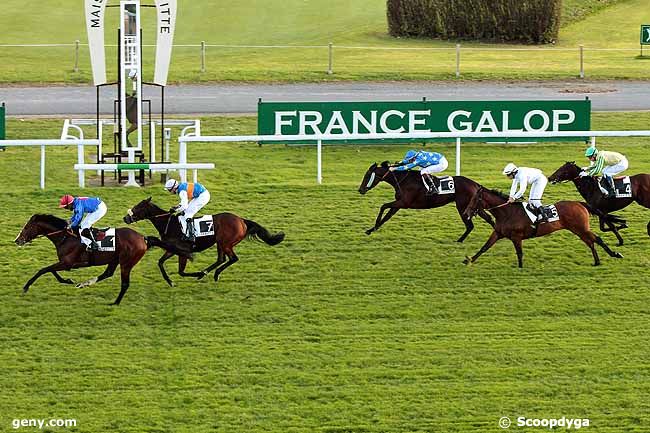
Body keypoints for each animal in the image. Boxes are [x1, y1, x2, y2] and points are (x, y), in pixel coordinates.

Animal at [14, 213, 163, 304]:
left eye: (27, 227)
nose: (17, 240)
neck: (65, 237)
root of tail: (142, 238)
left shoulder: (67, 263)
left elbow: (44, 270)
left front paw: (26, 287)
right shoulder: (66, 263)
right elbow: (50, 270)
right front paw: (68, 280)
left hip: (126, 263)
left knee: (124, 283)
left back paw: (114, 303)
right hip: (115, 260)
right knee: (107, 273)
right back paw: (84, 284)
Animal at [122, 197, 284, 286]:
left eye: (138, 207)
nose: (125, 218)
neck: (169, 223)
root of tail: (241, 220)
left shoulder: (182, 250)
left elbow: (181, 271)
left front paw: (196, 273)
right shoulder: (172, 249)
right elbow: (161, 263)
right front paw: (170, 281)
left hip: (225, 243)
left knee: (232, 258)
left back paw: (210, 273)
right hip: (220, 243)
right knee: (221, 259)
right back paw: (210, 273)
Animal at [360, 160, 492, 241]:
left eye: (367, 176)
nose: (360, 190)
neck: (403, 180)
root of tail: (475, 184)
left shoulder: (404, 203)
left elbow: (383, 206)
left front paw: (374, 225)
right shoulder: (399, 204)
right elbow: (387, 216)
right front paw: (371, 230)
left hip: (462, 206)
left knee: (470, 226)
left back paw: (459, 241)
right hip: (474, 206)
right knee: (488, 218)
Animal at [458, 186, 620, 266]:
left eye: (474, 200)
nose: (466, 213)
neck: (507, 212)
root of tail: (579, 203)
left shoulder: (516, 237)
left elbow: (519, 253)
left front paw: (520, 267)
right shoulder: (498, 233)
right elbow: (484, 247)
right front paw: (469, 260)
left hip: (581, 228)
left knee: (596, 239)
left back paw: (614, 254)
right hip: (578, 230)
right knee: (591, 242)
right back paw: (597, 261)